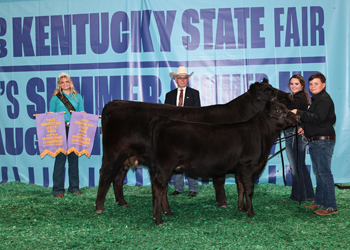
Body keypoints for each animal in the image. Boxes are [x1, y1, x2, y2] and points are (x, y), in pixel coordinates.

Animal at [94, 78, 292, 213]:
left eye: (273, 88)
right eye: (266, 91)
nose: (289, 95)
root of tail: (113, 103)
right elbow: (219, 180)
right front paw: (223, 202)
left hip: (126, 156)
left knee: (118, 176)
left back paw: (122, 202)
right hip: (114, 152)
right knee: (105, 174)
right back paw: (99, 206)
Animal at [150, 100, 300, 226]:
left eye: (285, 107)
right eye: (277, 110)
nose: (297, 117)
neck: (261, 135)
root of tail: (164, 120)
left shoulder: (240, 169)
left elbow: (241, 188)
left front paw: (241, 208)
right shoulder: (249, 166)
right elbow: (249, 190)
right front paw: (251, 212)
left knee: (163, 189)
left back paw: (168, 212)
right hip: (165, 166)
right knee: (158, 189)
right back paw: (158, 220)